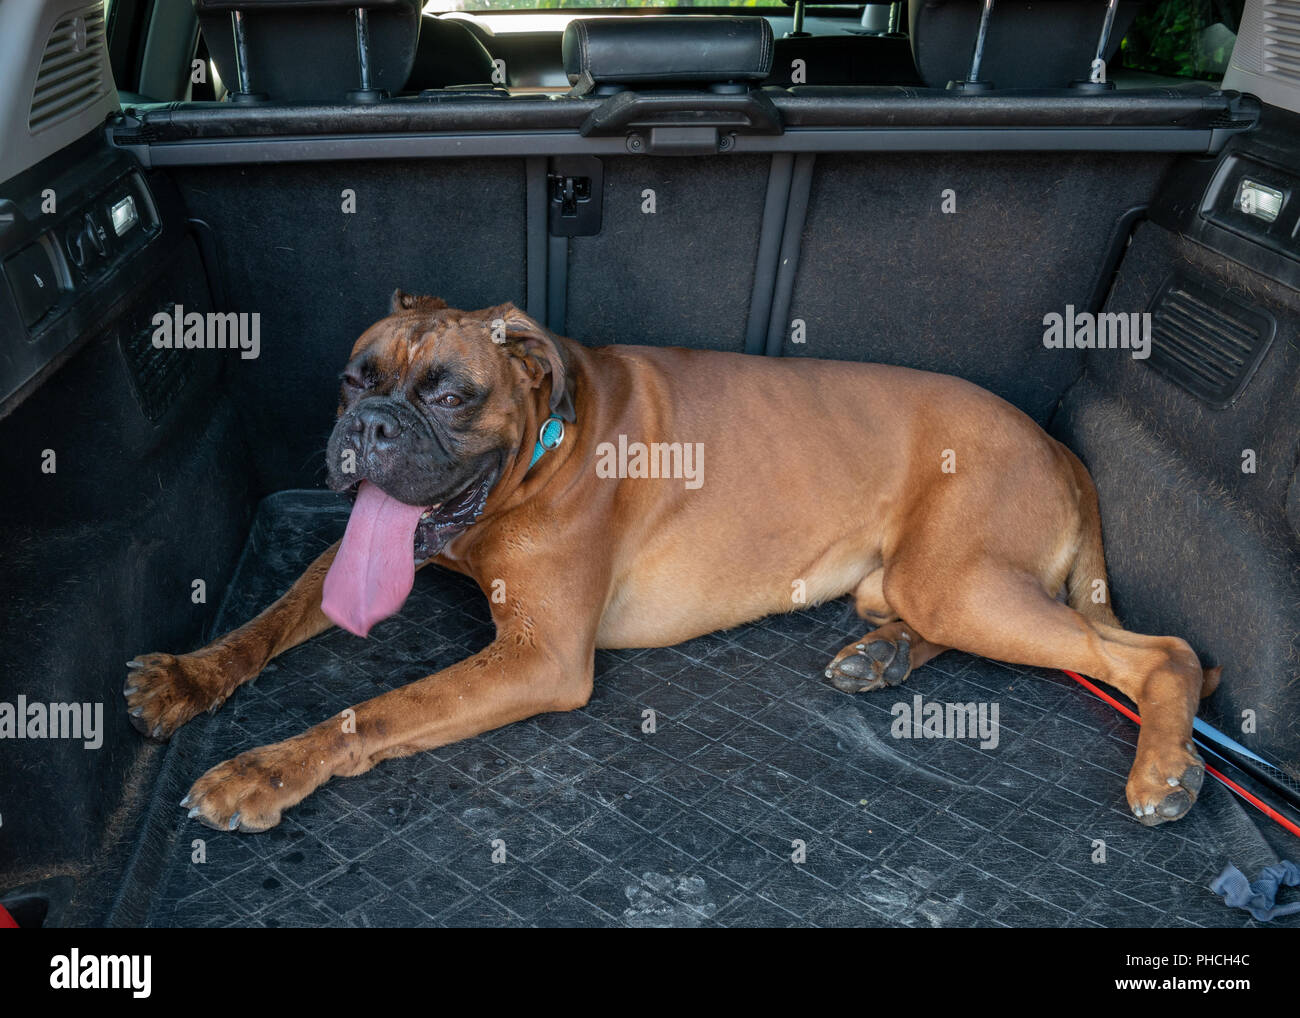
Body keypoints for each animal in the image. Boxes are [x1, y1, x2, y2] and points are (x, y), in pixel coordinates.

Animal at [122, 291, 1216, 832]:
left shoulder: (541, 658)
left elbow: (374, 713)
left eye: (449, 395)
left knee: (1161, 656)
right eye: (356, 377)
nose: (369, 426)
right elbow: (268, 621)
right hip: (915, 581)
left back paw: (1165, 768)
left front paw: (265, 769)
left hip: (958, 579)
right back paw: (884, 657)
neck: (543, 443)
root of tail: (1057, 443)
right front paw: (188, 676)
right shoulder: (361, 563)